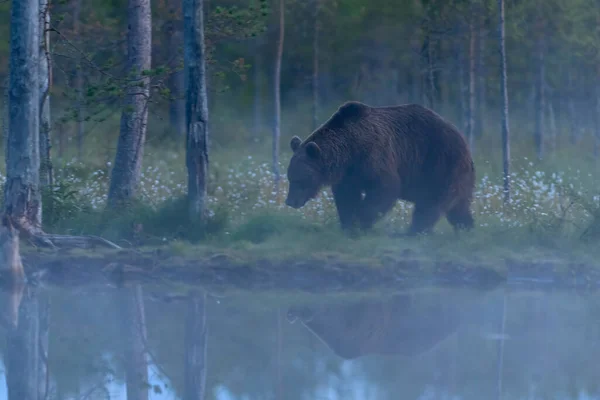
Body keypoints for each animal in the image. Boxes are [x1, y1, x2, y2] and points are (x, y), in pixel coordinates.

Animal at [284, 100, 476, 236]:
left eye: (300, 179)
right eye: (290, 177)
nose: (290, 201)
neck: (349, 150)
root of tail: (465, 143)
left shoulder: (374, 157)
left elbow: (384, 189)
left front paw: (360, 223)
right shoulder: (349, 174)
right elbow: (347, 197)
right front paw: (348, 223)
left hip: (440, 164)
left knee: (431, 203)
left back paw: (414, 232)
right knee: (458, 207)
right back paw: (466, 228)